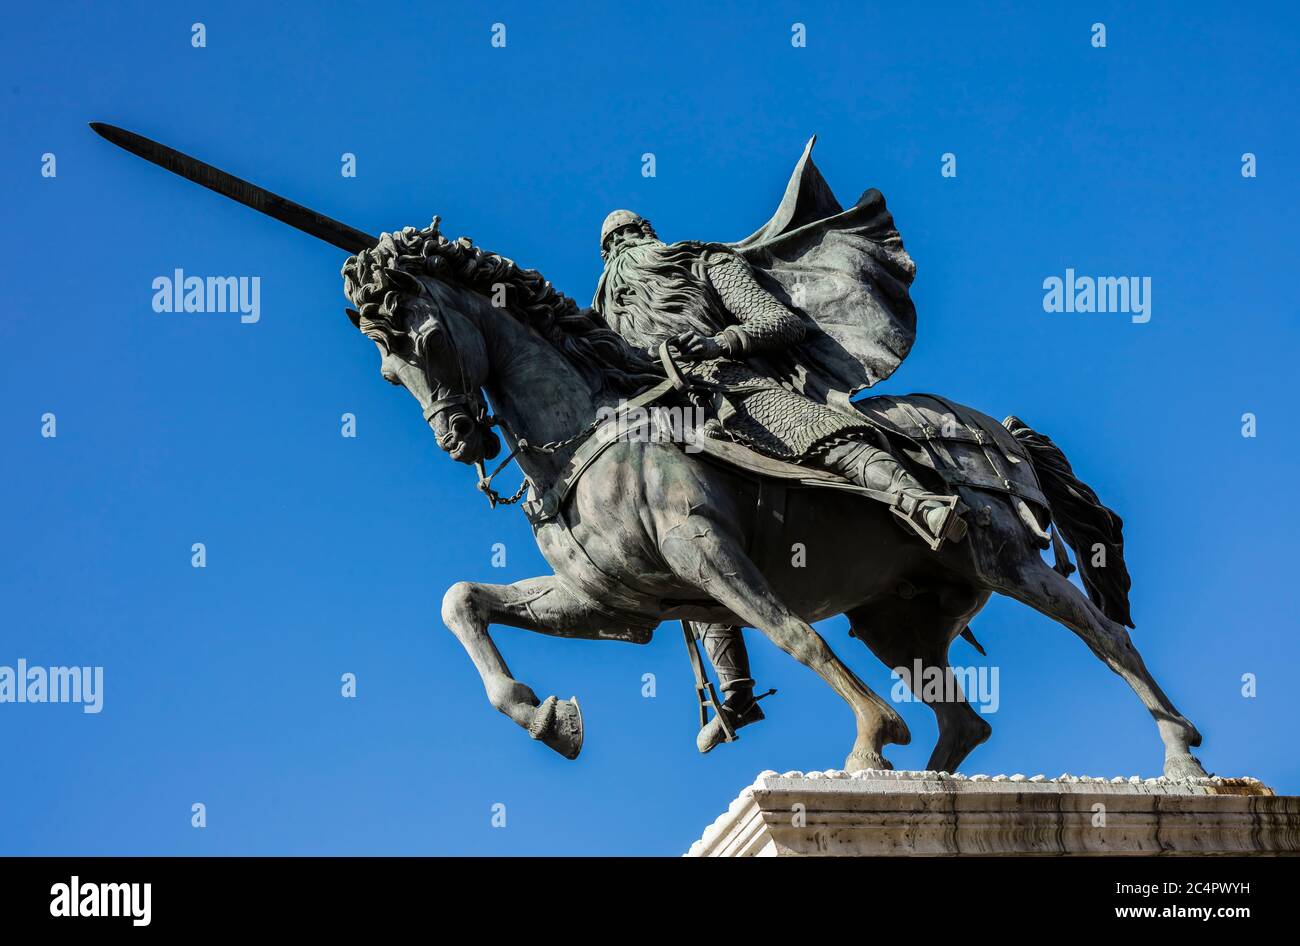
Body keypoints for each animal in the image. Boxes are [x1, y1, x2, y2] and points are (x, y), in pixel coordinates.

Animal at [338, 224, 1206, 779]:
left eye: (425, 341)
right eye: (387, 370)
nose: (460, 440)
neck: (591, 430)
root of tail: (997, 429)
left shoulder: (706, 552)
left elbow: (794, 634)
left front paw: (874, 729)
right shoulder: (616, 605)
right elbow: (463, 601)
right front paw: (546, 716)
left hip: (1004, 556)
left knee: (1104, 637)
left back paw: (1180, 757)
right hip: (899, 617)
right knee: (965, 719)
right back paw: (921, 784)